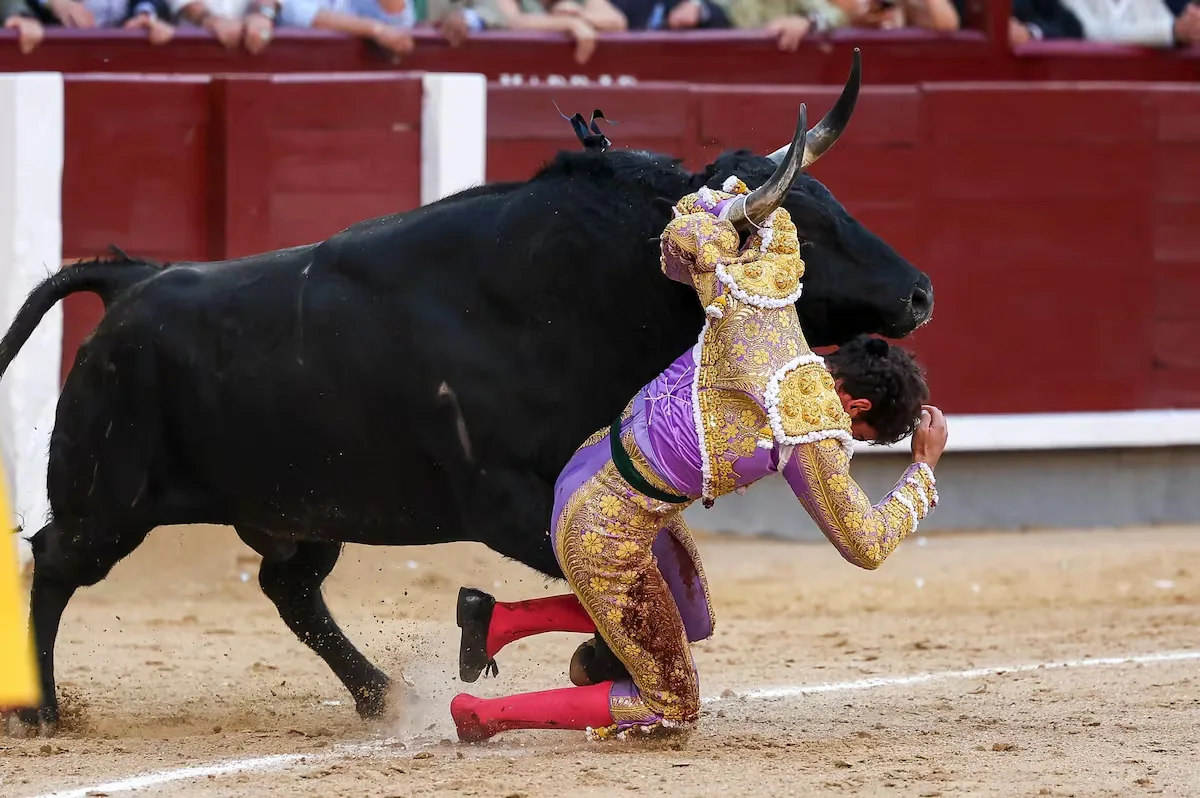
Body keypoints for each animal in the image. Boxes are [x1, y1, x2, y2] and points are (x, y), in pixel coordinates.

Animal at [1, 51, 932, 736]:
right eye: (805, 227)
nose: (920, 292)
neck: (589, 285)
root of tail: (133, 279)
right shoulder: (507, 503)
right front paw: (598, 662)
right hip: (107, 504)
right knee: (52, 563)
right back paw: (40, 712)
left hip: (300, 509)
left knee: (289, 589)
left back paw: (380, 695)